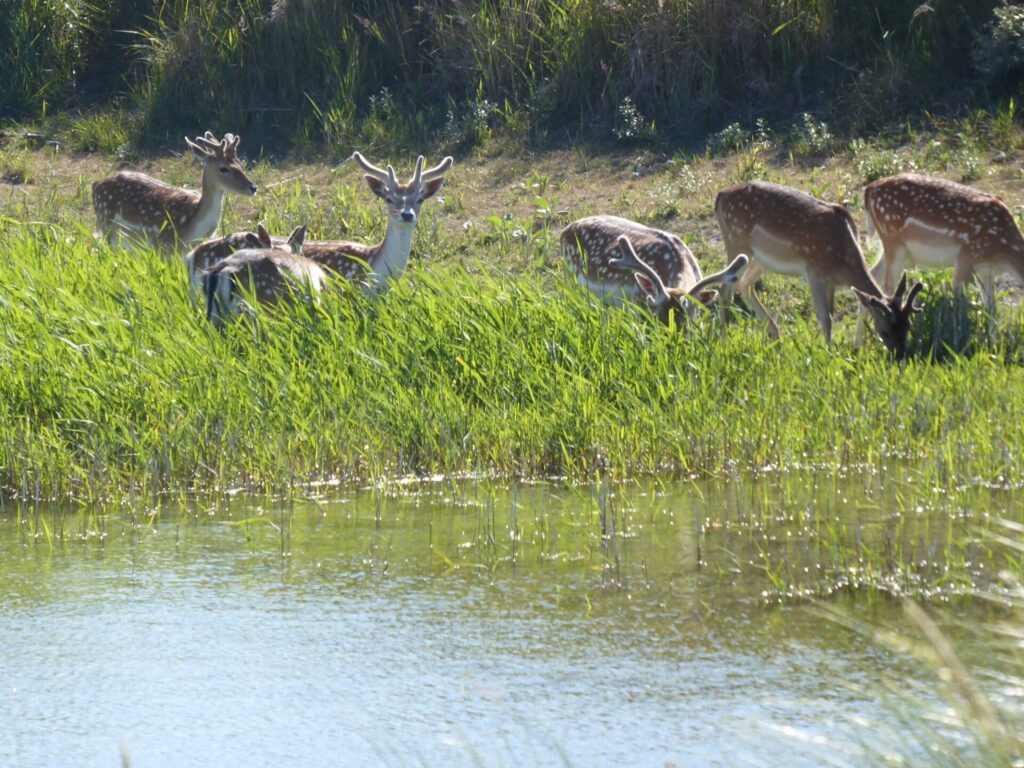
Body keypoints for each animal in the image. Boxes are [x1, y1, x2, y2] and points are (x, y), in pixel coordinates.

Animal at [92, 132, 256, 250]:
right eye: (223, 168)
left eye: (240, 164)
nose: (253, 187)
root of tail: (95, 184)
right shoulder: (164, 245)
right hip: (106, 223)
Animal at [712, 182, 929, 360]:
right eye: (884, 330)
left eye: (908, 326)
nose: (901, 355)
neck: (842, 262)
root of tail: (720, 197)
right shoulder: (814, 272)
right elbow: (826, 318)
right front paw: (828, 355)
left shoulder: (831, 282)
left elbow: (831, 312)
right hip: (736, 242)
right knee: (724, 291)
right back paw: (723, 343)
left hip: (760, 260)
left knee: (744, 284)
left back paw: (775, 336)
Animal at [856, 173, 1024, 342]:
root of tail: (869, 189)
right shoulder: (965, 258)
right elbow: (959, 309)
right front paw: (958, 342)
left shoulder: (986, 272)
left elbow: (991, 308)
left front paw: (994, 343)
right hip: (892, 240)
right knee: (888, 288)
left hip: (898, 248)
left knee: (872, 276)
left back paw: (858, 344)